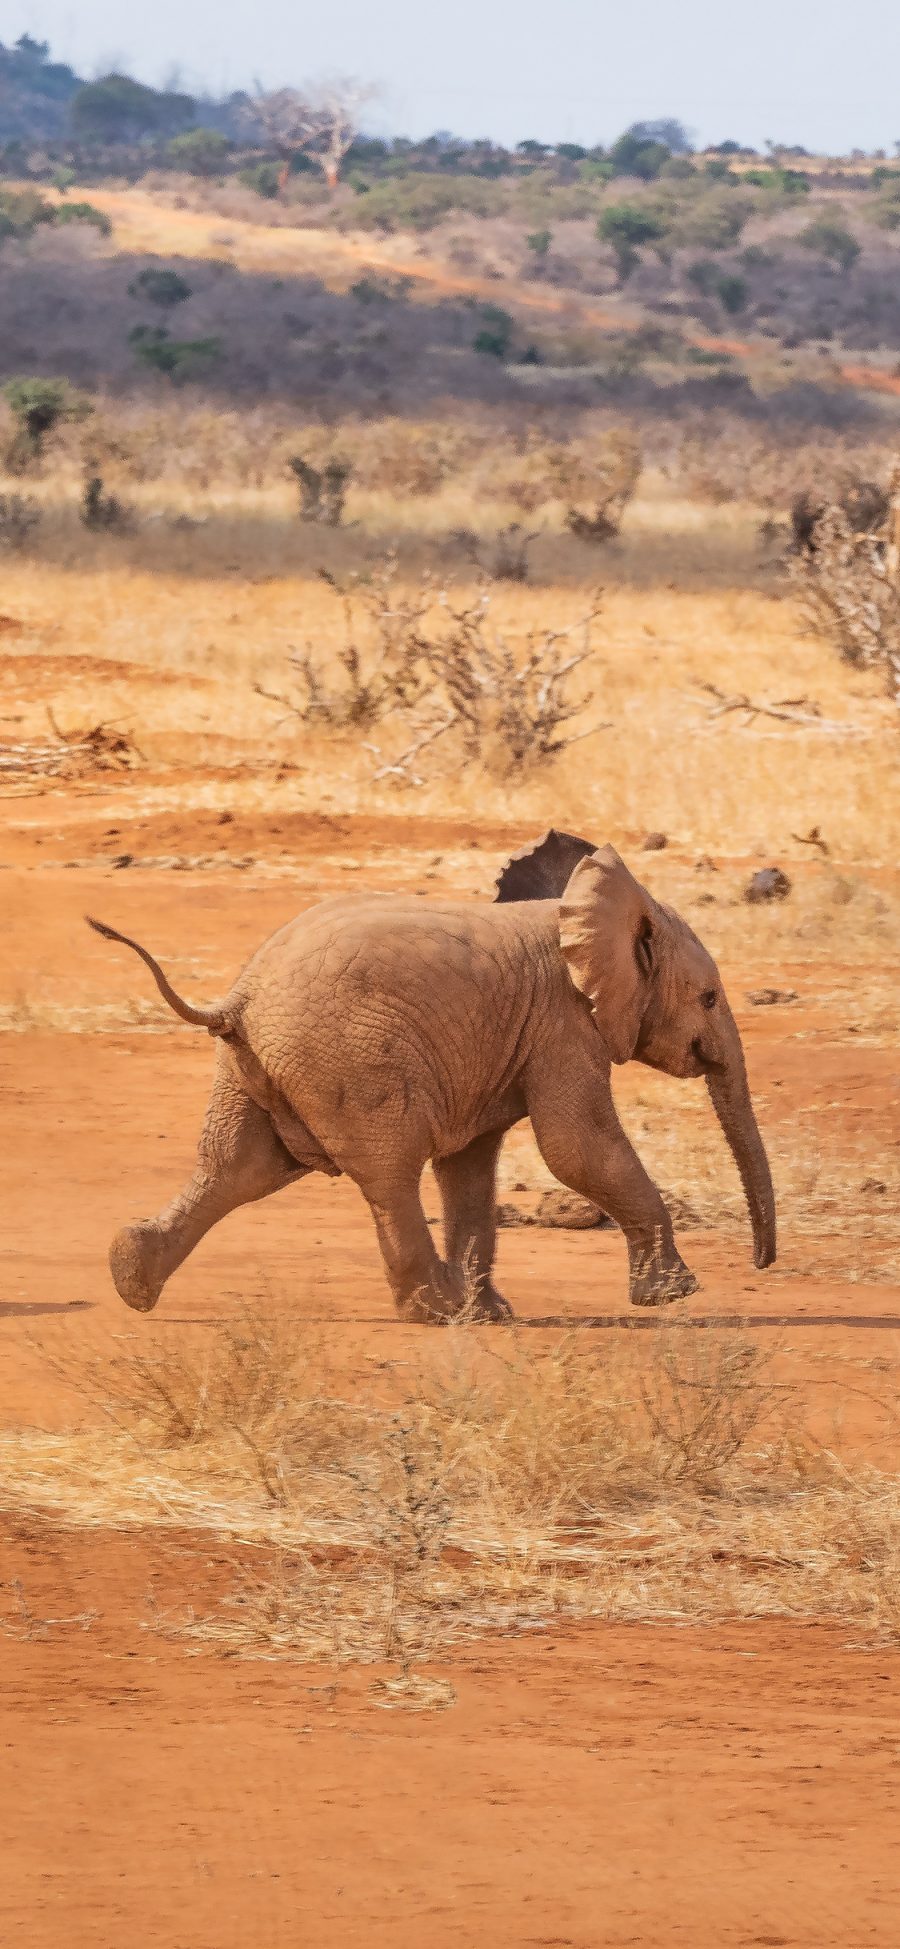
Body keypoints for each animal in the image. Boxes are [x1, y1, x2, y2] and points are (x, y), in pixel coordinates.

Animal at [89, 830, 775, 1317]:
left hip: (254, 1067)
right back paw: (433, 1310)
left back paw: (131, 1280)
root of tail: (239, 999)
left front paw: (492, 1316)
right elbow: (576, 1148)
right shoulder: (564, 1025)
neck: (581, 912)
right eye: (709, 997)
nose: (761, 1264)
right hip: (352, 1061)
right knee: (387, 1173)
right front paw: (678, 1296)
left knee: (236, 1169)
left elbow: (470, 1167)